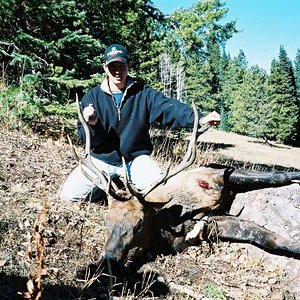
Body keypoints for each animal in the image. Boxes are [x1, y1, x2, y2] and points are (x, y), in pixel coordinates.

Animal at [72, 97, 300, 270]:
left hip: (222, 171)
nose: (108, 259)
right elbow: (266, 238)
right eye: (106, 220)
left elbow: (272, 238)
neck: (168, 228)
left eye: (139, 224)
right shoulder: (210, 226)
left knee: (275, 175)